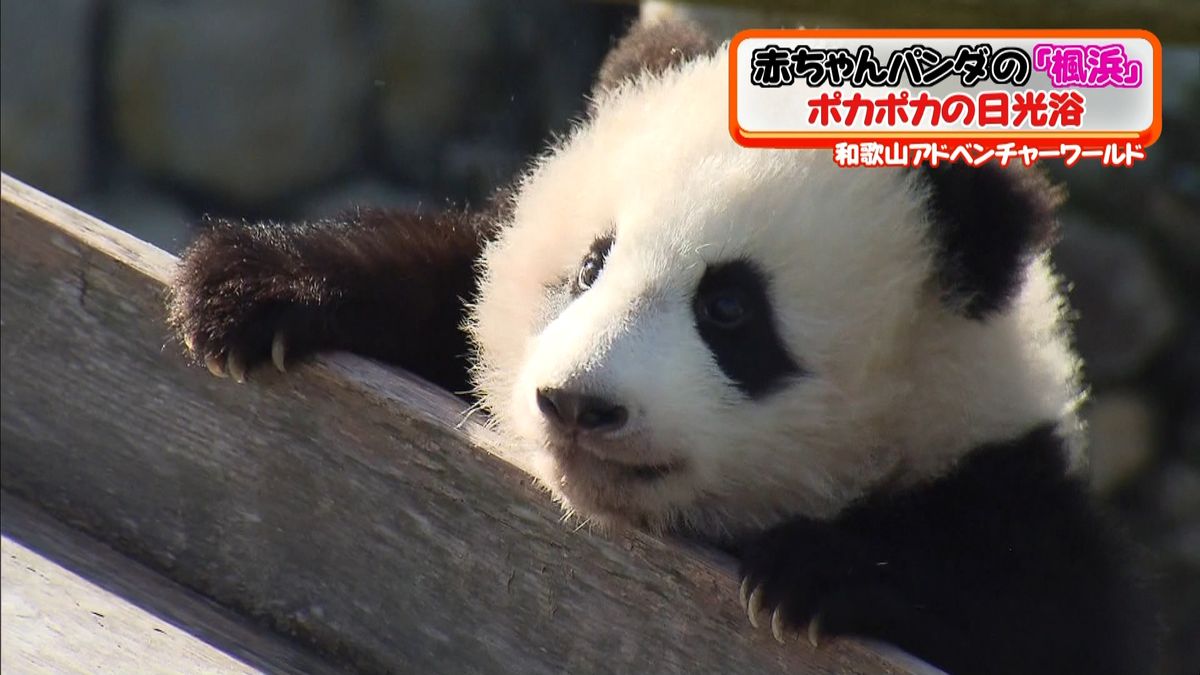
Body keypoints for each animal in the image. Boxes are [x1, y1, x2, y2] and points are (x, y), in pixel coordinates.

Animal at [169, 18, 1152, 667]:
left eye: (730, 311)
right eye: (591, 263)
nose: (578, 404)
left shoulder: (1001, 475)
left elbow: (1027, 603)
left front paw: (817, 574)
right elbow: (446, 276)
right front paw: (252, 287)